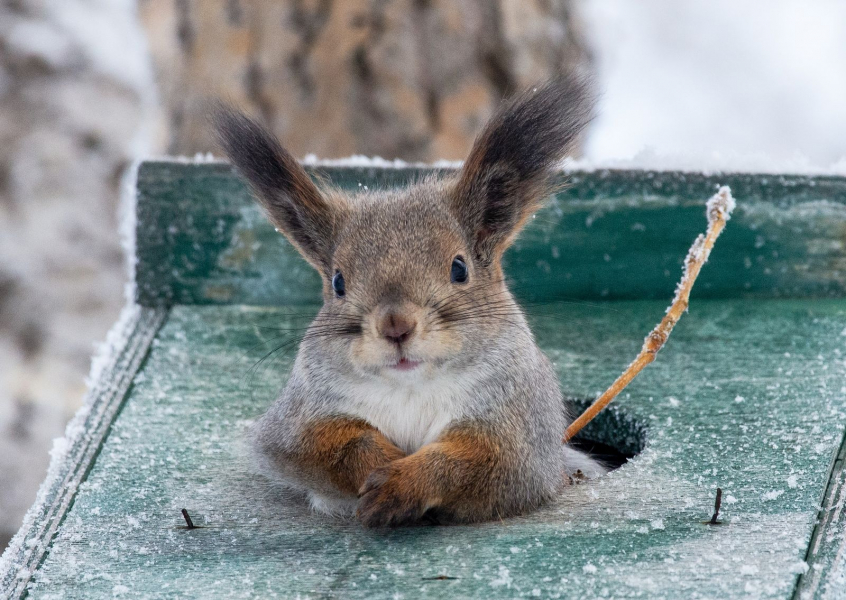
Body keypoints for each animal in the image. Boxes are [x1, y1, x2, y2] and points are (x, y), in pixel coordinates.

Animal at [214, 75, 606, 528]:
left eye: (459, 268)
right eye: (338, 282)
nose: (395, 326)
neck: (410, 388)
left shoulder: (517, 429)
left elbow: (480, 463)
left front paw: (403, 481)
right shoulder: (299, 418)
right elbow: (320, 446)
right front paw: (379, 463)